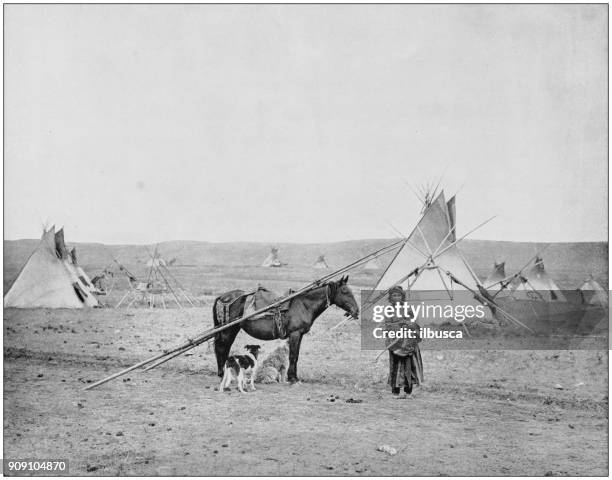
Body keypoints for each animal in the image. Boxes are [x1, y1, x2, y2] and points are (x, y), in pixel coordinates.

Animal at [214, 278, 360, 382]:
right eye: (345, 291)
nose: (356, 311)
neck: (304, 304)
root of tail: (223, 297)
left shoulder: (299, 335)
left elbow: (296, 355)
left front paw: (294, 376)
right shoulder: (295, 334)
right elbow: (293, 356)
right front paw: (292, 378)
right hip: (229, 330)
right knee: (222, 347)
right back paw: (223, 372)